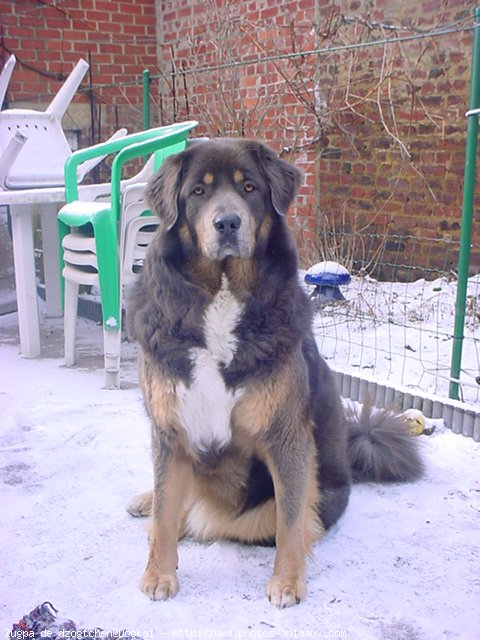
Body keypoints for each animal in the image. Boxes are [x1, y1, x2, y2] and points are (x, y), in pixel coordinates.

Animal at [126, 138, 420, 608]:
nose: (227, 223)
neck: (222, 295)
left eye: (249, 187)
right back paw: (146, 501)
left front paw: (286, 582)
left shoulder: (285, 436)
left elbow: (290, 522)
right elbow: (166, 513)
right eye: (198, 192)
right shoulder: (169, 429)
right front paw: (159, 574)